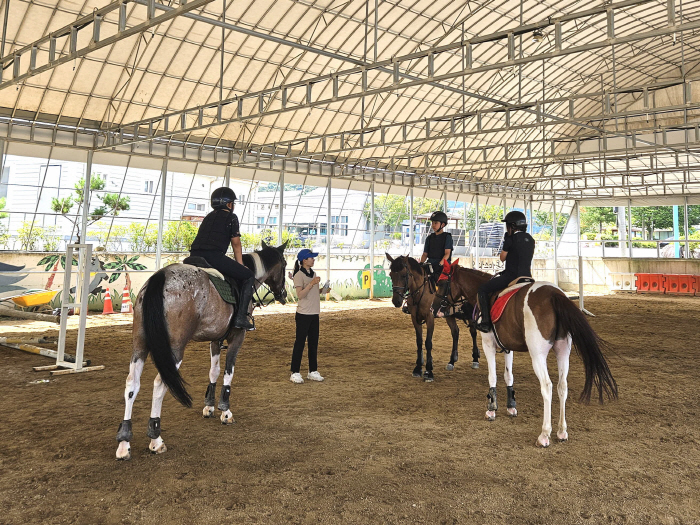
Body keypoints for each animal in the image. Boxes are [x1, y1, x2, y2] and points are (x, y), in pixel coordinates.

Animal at [115, 242, 288, 458]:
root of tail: (160, 277)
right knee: (160, 383)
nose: (284, 295)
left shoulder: (215, 339)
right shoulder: (237, 337)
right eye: (285, 265)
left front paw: (209, 406)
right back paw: (156, 438)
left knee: (132, 384)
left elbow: (213, 371)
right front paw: (225, 412)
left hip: (140, 344)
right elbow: (228, 372)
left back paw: (124, 442)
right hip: (174, 349)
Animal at [430, 262, 616, 446]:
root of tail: (555, 295)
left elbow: (492, 376)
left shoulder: (488, 343)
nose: (433, 309)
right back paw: (562, 431)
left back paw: (544, 434)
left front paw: (491, 409)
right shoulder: (507, 347)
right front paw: (511, 406)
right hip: (563, 350)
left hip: (537, 355)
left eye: (441, 283)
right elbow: (508, 376)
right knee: (562, 386)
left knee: (547, 386)